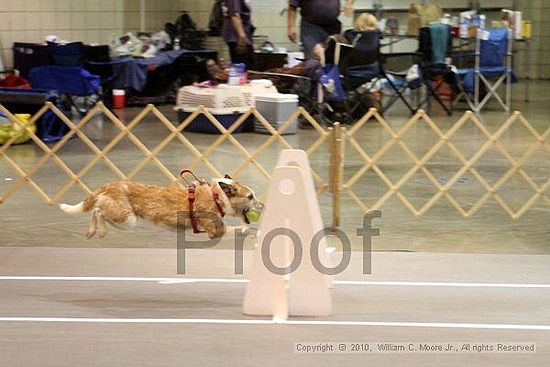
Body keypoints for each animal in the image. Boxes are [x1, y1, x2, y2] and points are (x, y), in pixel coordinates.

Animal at [60, 176, 266, 240]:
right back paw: (98, 230)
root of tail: (109, 186)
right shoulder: (216, 231)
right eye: (250, 196)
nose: (263, 206)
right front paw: (253, 231)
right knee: (98, 211)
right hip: (126, 218)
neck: (217, 196)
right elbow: (242, 228)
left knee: (97, 211)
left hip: (126, 220)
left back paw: (95, 231)